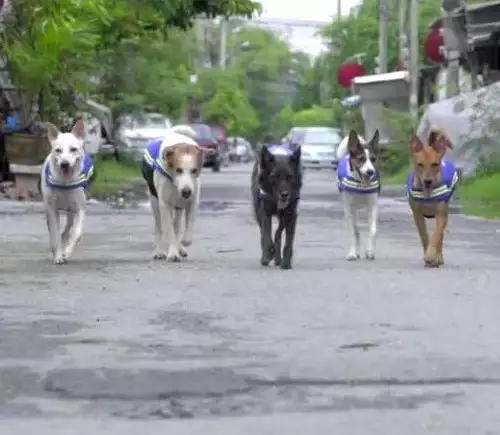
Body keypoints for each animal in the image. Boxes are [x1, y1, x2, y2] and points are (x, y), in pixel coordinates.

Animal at [40, 117, 94, 264]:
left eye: (73, 149)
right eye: (58, 150)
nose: (64, 164)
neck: (65, 183)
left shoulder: (80, 208)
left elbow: (77, 233)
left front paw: (66, 252)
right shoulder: (52, 209)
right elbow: (54, 234)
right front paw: (58, 255)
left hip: (71, 211)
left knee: (68, 229)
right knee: (54, 230)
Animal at [141, 125, 209, 262]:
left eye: (194, 170)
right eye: (178, 170)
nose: (186, 191)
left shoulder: (192, 201)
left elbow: (188, 223)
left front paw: (184, 242)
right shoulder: (164, 204)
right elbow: (168, 230)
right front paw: (172, 253)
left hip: (178, 206)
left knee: (176, 225)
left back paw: (179, 247)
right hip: (154, 200)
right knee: (159, 226)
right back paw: (160, 251)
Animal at [338, 127, 380, 260]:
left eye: (373, 159)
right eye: (361, 158)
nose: (370, 172)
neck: (361, 185)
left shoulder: (372, 206)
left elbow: (373, 230)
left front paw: (370, 252)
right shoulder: (350, 208)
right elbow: (353, 231)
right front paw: (352, 253)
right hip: (349, 209)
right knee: (355, 228)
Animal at [406, 129, 458, 268]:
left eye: (435, 164)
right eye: (420, 164)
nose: (427, 181)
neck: (427, 194)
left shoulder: (441, 213)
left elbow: (436, 236)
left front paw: (431, 256)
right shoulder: (417, 215)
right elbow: (424, 236)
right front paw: (427, 256)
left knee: (441, 236)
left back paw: (438, 257)